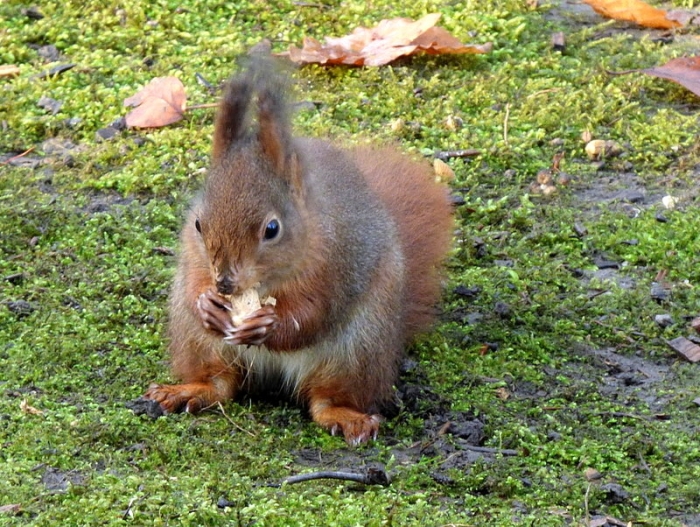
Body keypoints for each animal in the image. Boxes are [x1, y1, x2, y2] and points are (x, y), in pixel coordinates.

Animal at [144, 58, 454, 445]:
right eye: (199, 224)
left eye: (272, 229)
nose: (226, 284)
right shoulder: (193, 255)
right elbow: (193, 283)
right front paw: (206, 304)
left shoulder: (335, 262)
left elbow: (313, 314)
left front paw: (268, 325)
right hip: (195, 341)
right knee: (219, 384)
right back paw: (188, 390)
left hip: (358, 350)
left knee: (324, 400)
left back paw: (347, 417)